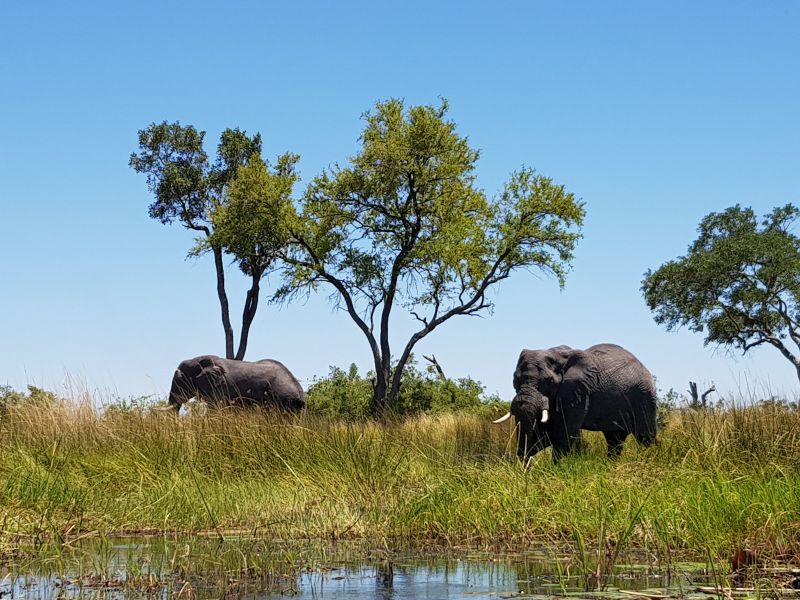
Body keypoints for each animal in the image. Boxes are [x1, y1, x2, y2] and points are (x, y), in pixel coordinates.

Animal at [496, 344, 660, 462]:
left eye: (549, 382)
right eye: (515, 380)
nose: (524, 469)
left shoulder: (578, 392)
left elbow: (562, 435)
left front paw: (556, 470)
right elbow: (542, 435)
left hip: (645, 396)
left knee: (645, 436)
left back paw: (650, 460)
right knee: (614, 439)